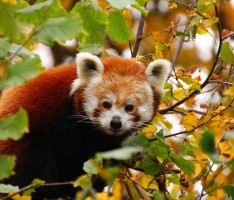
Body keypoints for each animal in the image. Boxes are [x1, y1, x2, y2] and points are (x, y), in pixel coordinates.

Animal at [0, 52, 170, 199]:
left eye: (129, 107)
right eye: (106, 104)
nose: (115, 122)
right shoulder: (65, 121)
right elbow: (69, 157)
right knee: (36, 155)